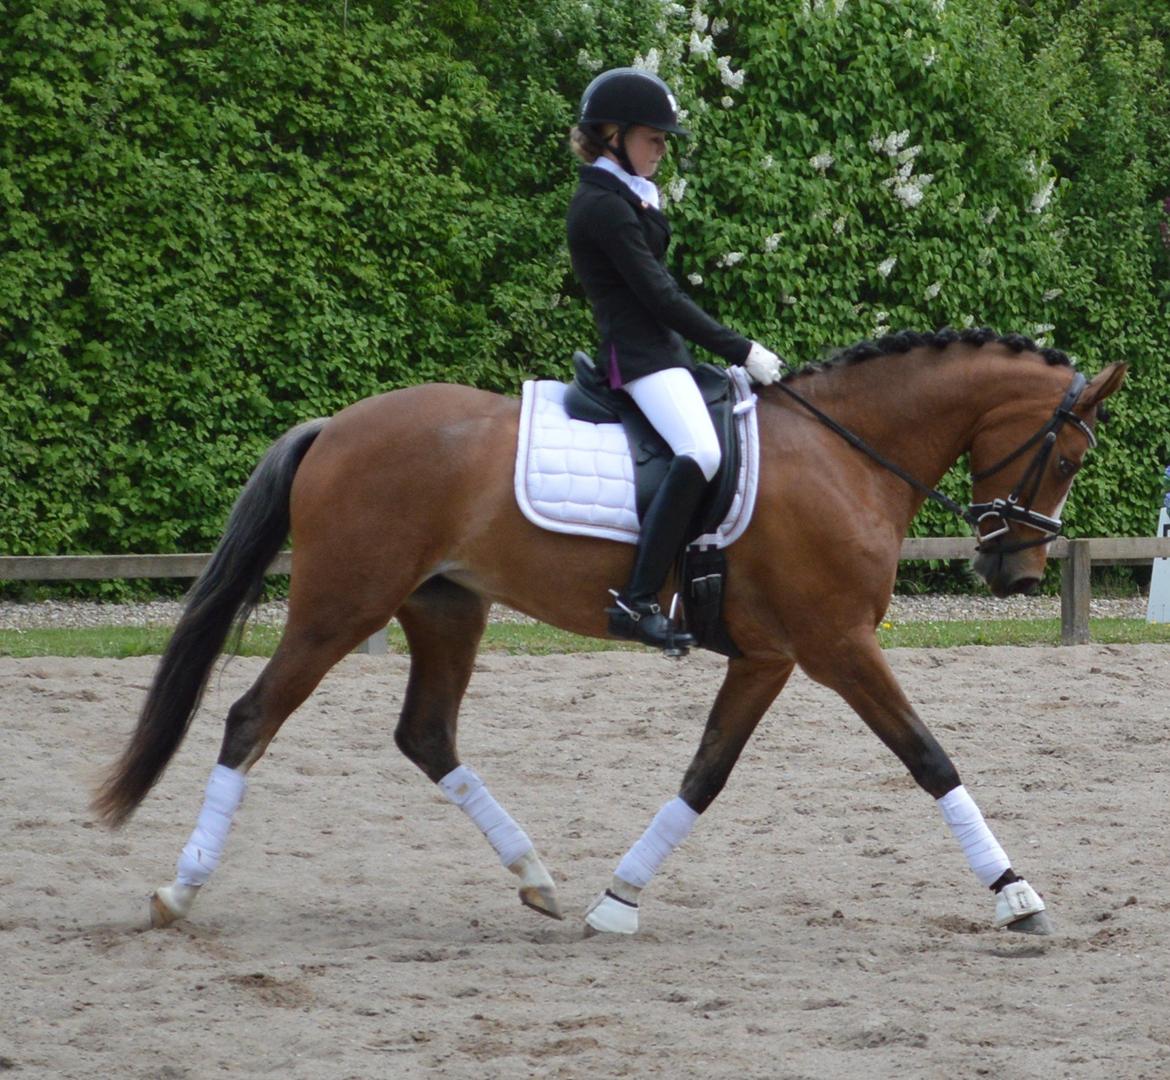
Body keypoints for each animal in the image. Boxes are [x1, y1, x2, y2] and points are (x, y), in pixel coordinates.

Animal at [93, 328, 1127, 937]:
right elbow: (927, 755)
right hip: (340, 606)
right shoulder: (836, 647)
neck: (845, 453)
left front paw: (618, 899)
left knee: (426, 735)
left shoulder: (771, 658)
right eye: (1067, 458)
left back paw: (537, 876)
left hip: (446, 607)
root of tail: (336, 427)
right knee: (252, 719)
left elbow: (705, 775)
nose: (1015, 572)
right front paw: (1017, 893)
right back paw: (179, 890)